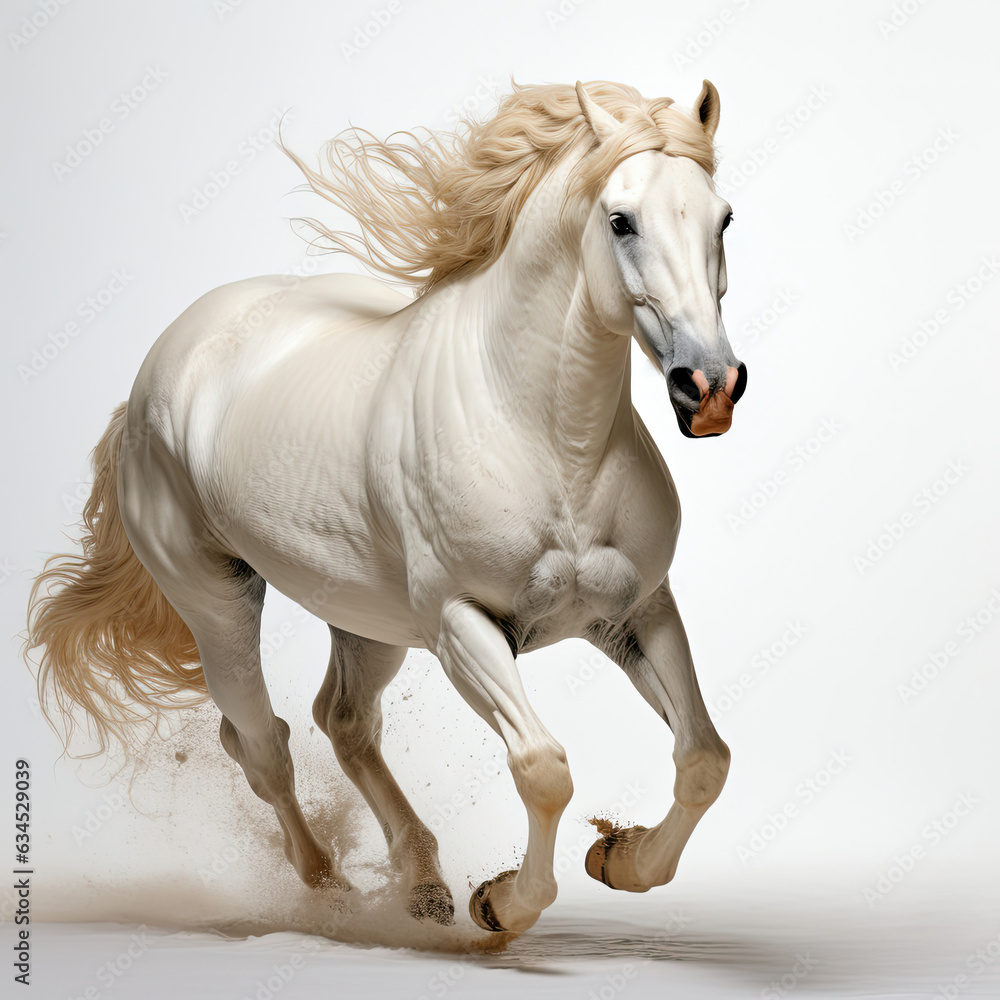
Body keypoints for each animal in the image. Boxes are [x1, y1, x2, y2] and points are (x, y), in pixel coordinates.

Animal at [27, 78, 747, 935]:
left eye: (723, 219)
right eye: (620, 221)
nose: (709, 389)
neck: (549, 439)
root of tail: (156, 370)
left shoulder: (635, 611)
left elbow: (703, 759)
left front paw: (619, 857)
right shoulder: (462, 625)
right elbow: (543, 769)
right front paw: (501, 904)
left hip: (366, 622)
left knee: (342, 722)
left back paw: (423, 885)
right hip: (217, 602)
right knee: (262, 743)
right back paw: (329, 885)